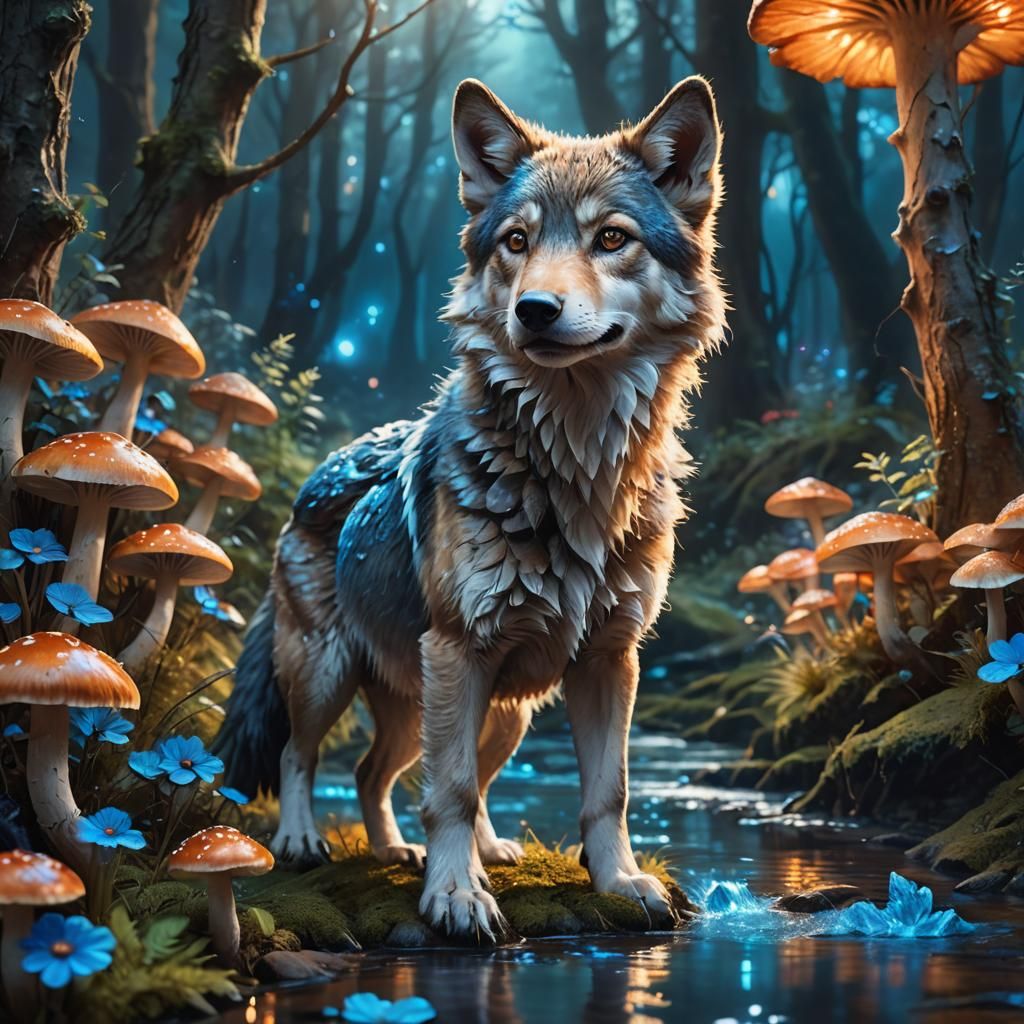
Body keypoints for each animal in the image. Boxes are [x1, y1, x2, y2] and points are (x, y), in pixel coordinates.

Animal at [215, 75, 725, 940]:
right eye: (516, 242)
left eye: (612, 238)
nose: (536, 310)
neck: (576, 466)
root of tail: (314, 478)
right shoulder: (461, 648)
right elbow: (448, 792)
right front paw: (455, 897)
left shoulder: (609, 660)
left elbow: (608, 792)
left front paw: (620, 882)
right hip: (331, 673)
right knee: (306, 756)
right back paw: (305, 841)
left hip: (500, 708)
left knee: (382, 772)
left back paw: (420, 851)